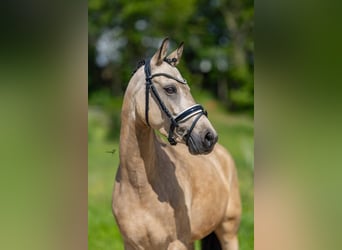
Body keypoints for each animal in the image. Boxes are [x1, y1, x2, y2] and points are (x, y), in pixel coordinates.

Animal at [112, 37, 240, 250]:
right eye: (170, 89)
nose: (209, 136)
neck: (138, 187)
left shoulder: (176, 243)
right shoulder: (131, 245)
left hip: (228, 231)